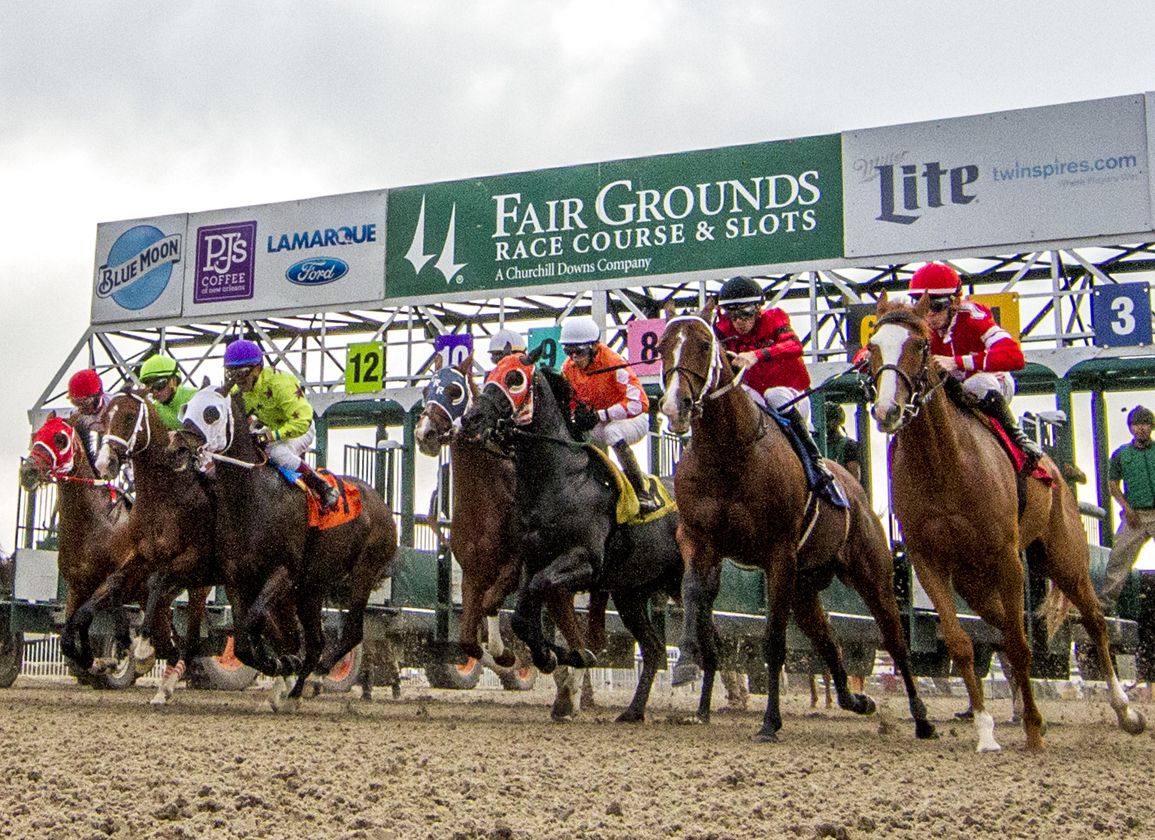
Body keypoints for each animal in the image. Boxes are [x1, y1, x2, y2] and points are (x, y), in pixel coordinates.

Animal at [168, 383, 399, 702]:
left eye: (211, 413)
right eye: (185, 408)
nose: (176, 448)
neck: (252, 496)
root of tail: (383, 505)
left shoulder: (283, 572)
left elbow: (254, 619)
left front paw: (278, 661)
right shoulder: (237, 578)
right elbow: (243, 642)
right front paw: (278, 662)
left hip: (363, 572)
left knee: (352, 631)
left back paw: (317, 673)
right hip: (312, 588)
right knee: (316, 641)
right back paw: (297, 688)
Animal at [418, 358, 609, 720]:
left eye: (454, 390)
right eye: (424, 391)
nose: (425, 434)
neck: (486, 499)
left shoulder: (514, 567)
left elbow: (492, 605)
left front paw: (509, 655)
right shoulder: (472, 574)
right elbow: (467, 638)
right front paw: (506, 657)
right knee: (569, 622)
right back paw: (566, 691)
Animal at [459, 348, 711, 720]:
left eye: (515, 378)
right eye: (489, 374)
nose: (472, 418)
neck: (560, 479)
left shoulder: (586, 562)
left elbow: (540, 590)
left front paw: (561, 654)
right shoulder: (533, 559)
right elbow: (521, 616)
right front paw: (560, 655)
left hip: (686, 585)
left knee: (711, 646)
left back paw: (702, 707)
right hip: (631, 593)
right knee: (653, 650)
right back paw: (634, 711)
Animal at [656, 307, 933, 744]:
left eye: (702, 344)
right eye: (664, 346)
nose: (674, 404)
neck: (729, 451)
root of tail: (856, 490)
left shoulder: (779, 554)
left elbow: (773, 641)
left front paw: (770, 722)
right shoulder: (699, 539)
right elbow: (693, 591)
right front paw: (685, 664)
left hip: (869, 574)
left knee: (894, 639)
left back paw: (921, 718)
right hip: (805, 586)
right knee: (829, 640)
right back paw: (856, 701)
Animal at [868, 292, 1145, 753]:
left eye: (920, 346)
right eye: (872, 347)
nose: (887, 410)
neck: (943, 464)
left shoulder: (1006, 557)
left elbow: (1019, 643)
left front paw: (1032, 728)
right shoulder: (928, 562)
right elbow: (963, 644)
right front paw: (985, 731)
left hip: (1062, 557)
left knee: (1093, 621)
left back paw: (1125, 712)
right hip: (973, 581)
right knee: (1000, 625)